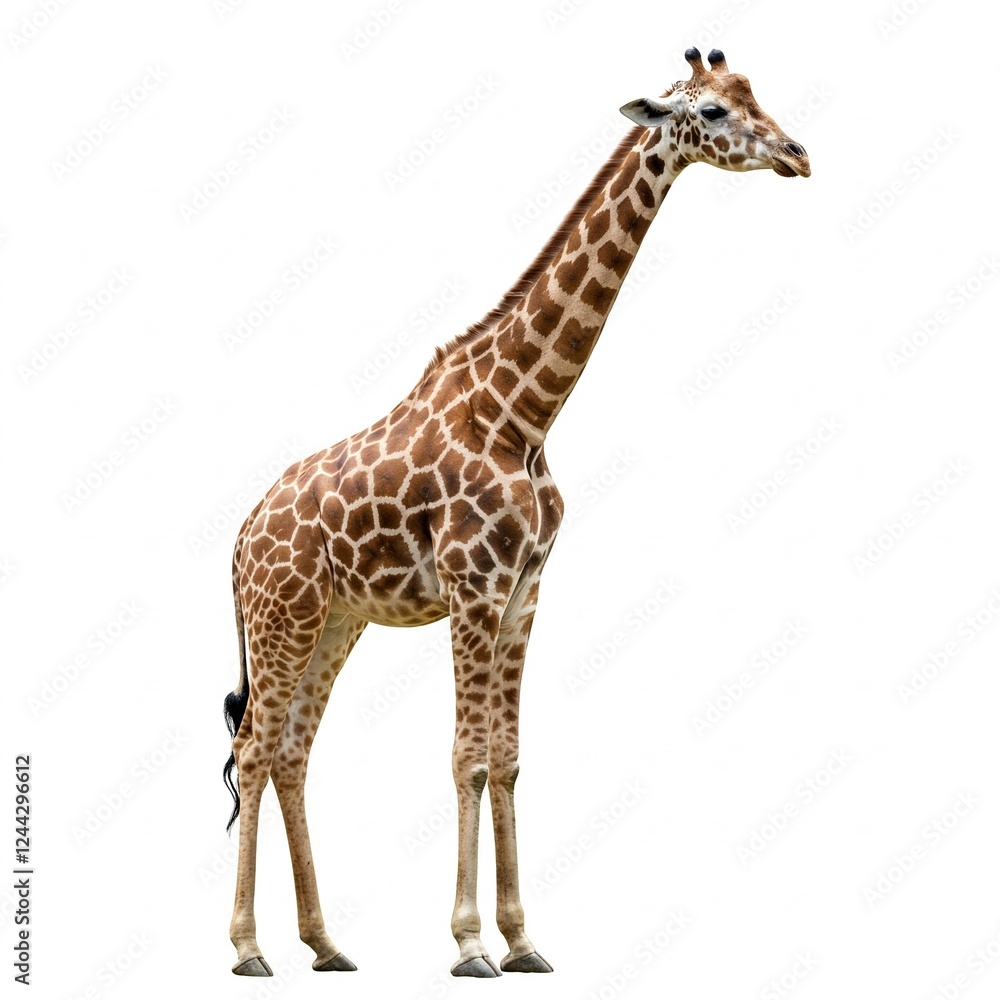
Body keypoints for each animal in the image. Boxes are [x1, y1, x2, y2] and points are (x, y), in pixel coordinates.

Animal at [222, 47, 810, 978]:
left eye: (755, 95)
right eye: (713, 112)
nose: (798, 155)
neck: (524, 413)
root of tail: (241, 535)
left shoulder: (526, 590)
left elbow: (507, 761)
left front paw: (524, 938)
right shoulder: (475, 587)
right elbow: (466, 758)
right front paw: (468, 942)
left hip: (335, 620)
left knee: (290, 752)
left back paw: (326, 943)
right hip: (282, 616)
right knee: (251, 749)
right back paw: (247, 948)